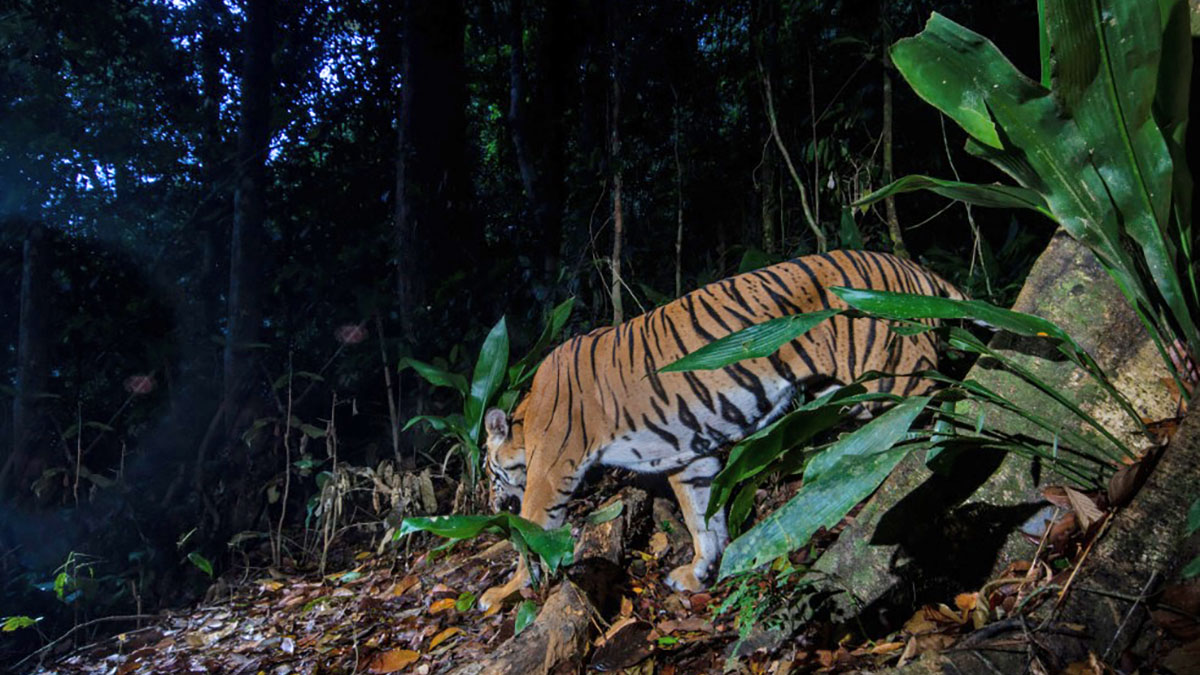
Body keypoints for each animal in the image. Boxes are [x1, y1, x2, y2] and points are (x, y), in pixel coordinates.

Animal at [478, 249, 966, 609]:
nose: (490, 504)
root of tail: (913, 266)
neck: (526, 421)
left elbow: (530, 534)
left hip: (899, 379)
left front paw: (504, 591)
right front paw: (699, 573)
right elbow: (702, 519)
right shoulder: (690, 457)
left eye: (486, 470)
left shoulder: (551, 472)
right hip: (854, 395)